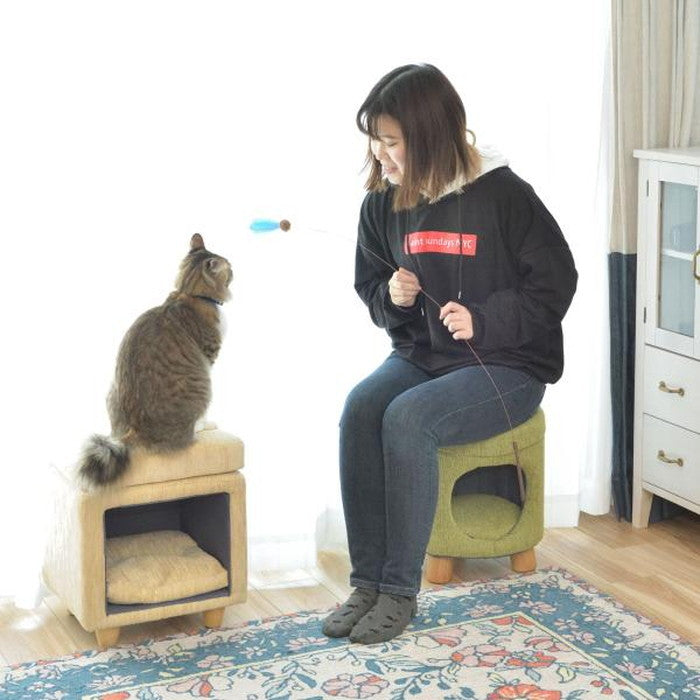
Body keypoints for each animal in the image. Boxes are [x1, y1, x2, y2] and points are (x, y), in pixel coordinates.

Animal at [78, 233, 233, 487]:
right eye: (230, 269)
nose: (235, 270)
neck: (189, 293)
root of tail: (134, 430)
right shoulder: (209, 357)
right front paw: (206, 423)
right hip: (204, 386)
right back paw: (199, 429)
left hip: (111, 390)